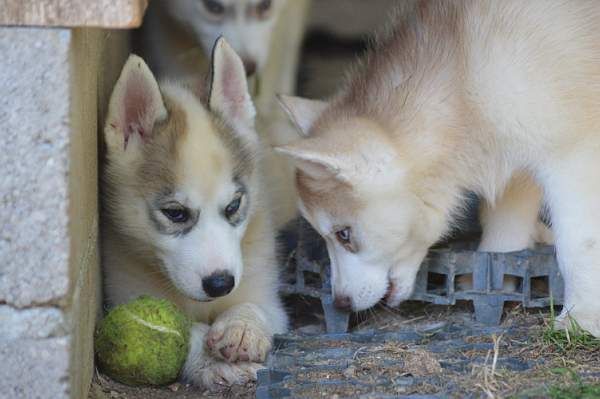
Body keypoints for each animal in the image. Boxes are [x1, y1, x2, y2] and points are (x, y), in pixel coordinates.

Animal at [101, 39, 288, 388]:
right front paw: (211, 361)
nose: (220, 284)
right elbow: (186, 331)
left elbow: (255, 305)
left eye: (233, 206)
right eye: (175, 213)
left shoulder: (269, 296)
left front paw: (242, 326)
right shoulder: (124, 290)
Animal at [276, 0, 600, 338]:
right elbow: (504, 229)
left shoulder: (573, 154)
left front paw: (581, 318)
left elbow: (579, 243)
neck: (464, 81)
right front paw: (494, 284)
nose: (340, 304)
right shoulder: (512, 159)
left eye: (343, 235)